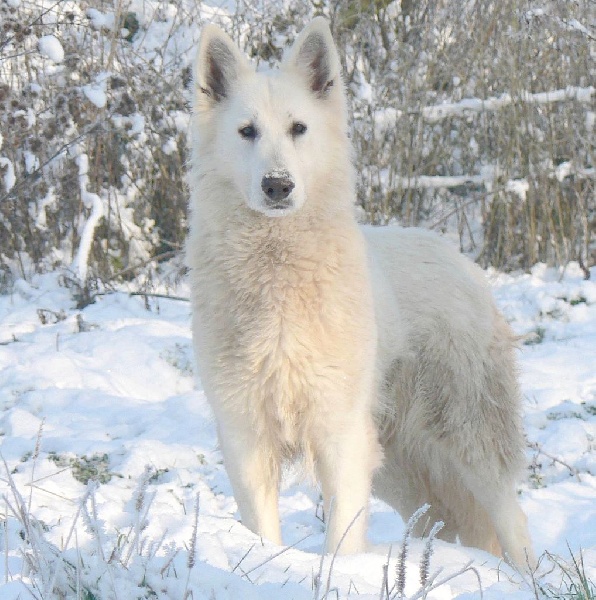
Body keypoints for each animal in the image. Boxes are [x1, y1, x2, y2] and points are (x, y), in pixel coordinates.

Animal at [187, 17, 536, 568]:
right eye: (247, 132)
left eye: (298, 129)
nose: (277, 185)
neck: (277, 271)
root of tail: (458, 258)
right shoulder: (246, 435)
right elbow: (263, 530)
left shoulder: (340, 433)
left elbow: (341, 540)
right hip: (396, 461)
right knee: (446, 519)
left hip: (467, 433)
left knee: (510, 517)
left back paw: (526, 577)